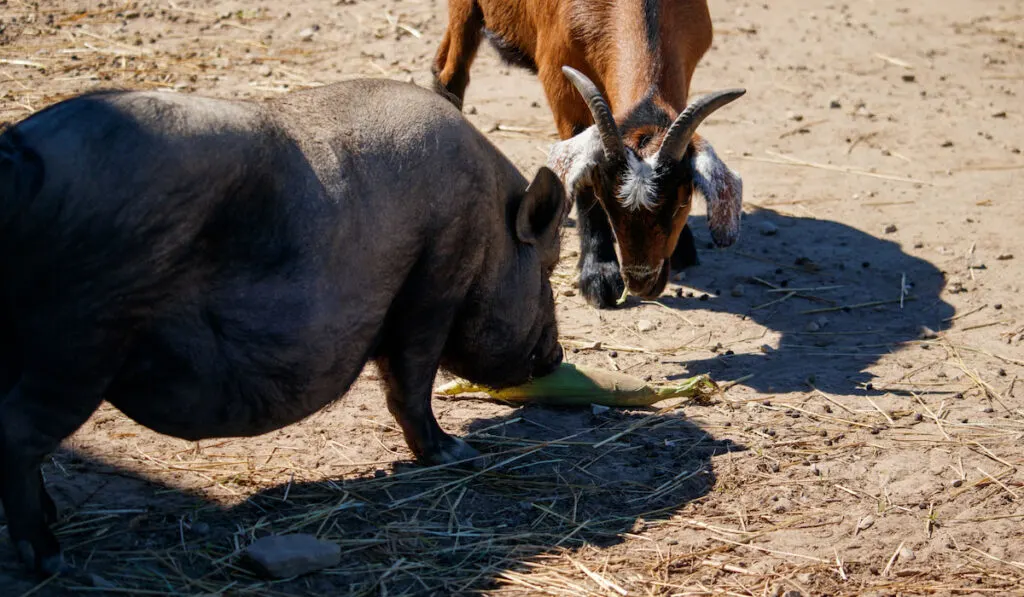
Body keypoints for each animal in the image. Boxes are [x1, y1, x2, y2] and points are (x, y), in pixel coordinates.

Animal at [432, 0, 745, 309]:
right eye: (606, 201)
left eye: (682, 202)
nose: (641, 283)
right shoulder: (560, 80)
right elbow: (580, 178)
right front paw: (599, 276)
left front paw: (683, 246)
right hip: (464, 11)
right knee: (452, 77)